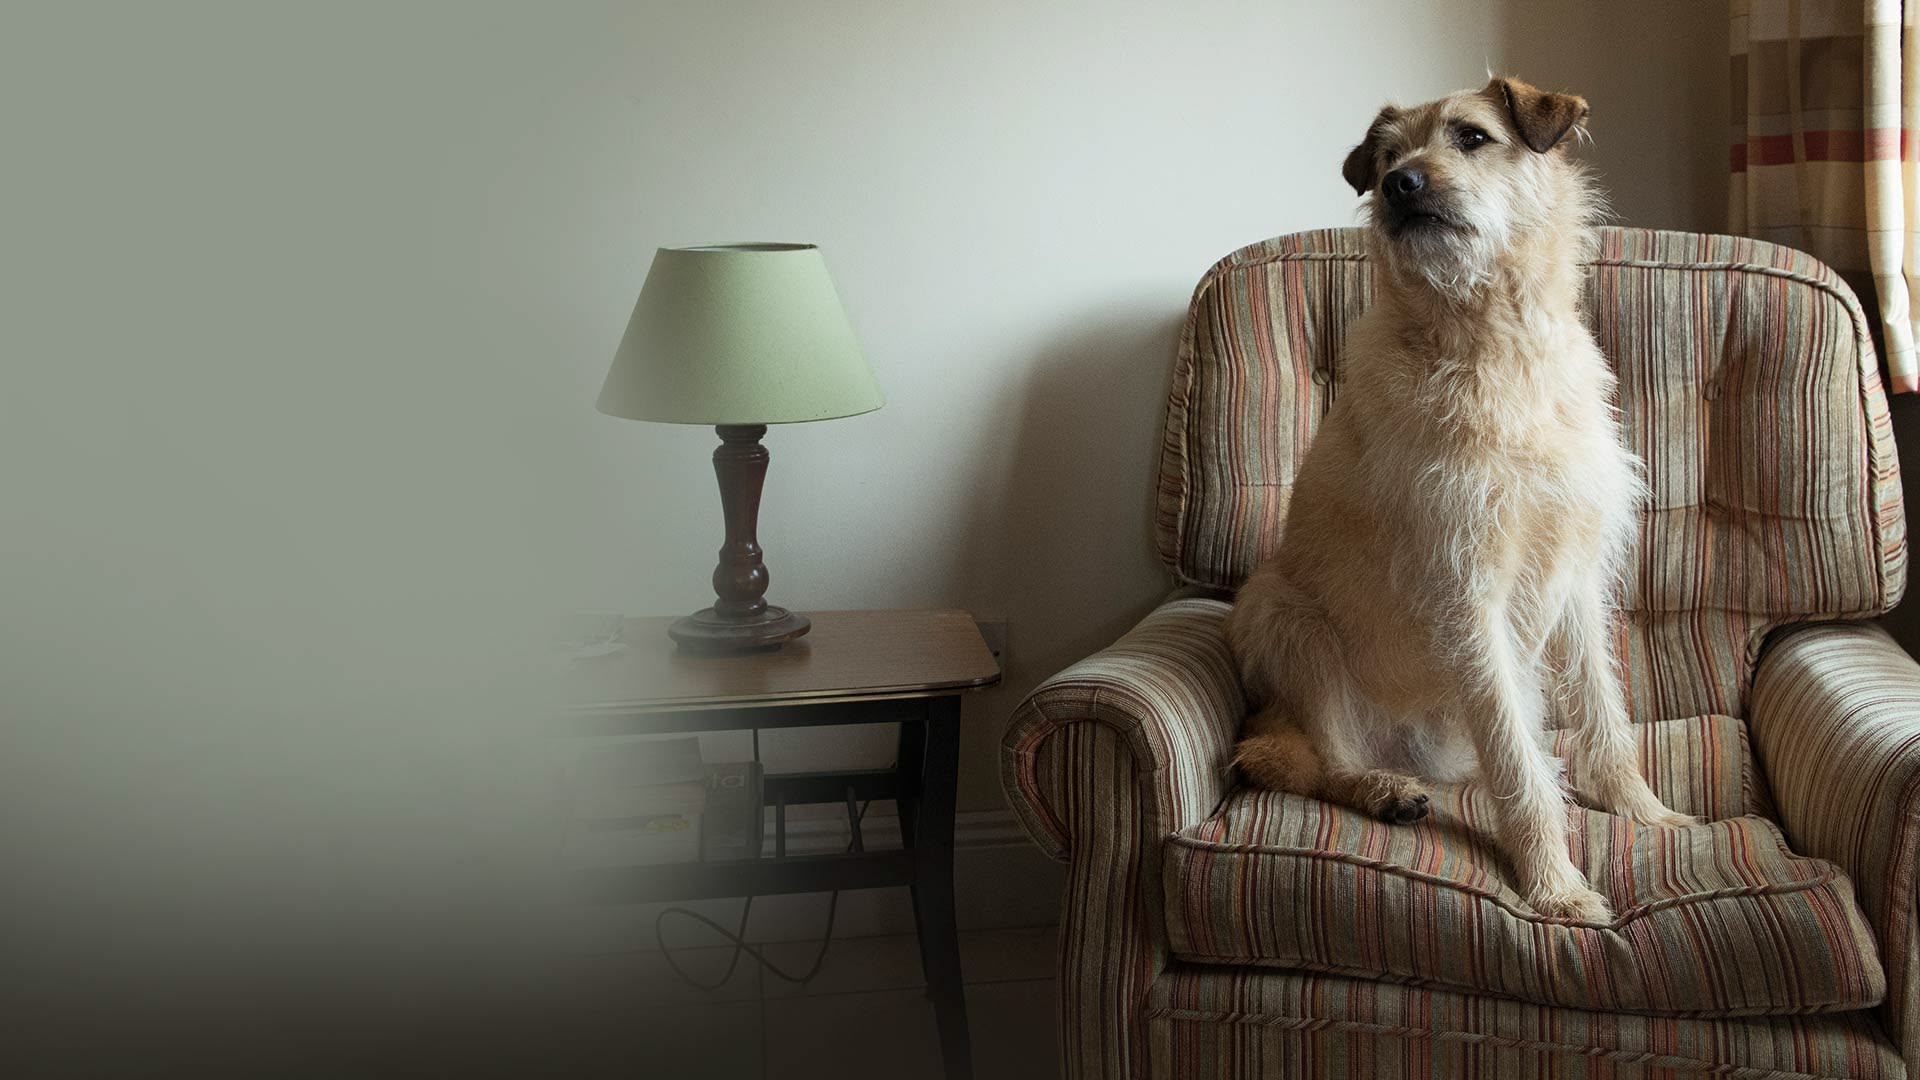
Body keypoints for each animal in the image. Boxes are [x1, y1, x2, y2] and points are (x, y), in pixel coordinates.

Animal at [1222, 77, 1694, 924]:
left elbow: (1603, 715)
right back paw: (1383, 789)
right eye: (1385, 158)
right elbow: (1515, 762)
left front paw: (1641, 811)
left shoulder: (1574, 580)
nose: (1398, 185)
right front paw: (1554, 888)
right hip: (1279, 613)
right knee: (1322, 761)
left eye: (1472, 137)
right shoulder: (1467, 595)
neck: (1497, 343)